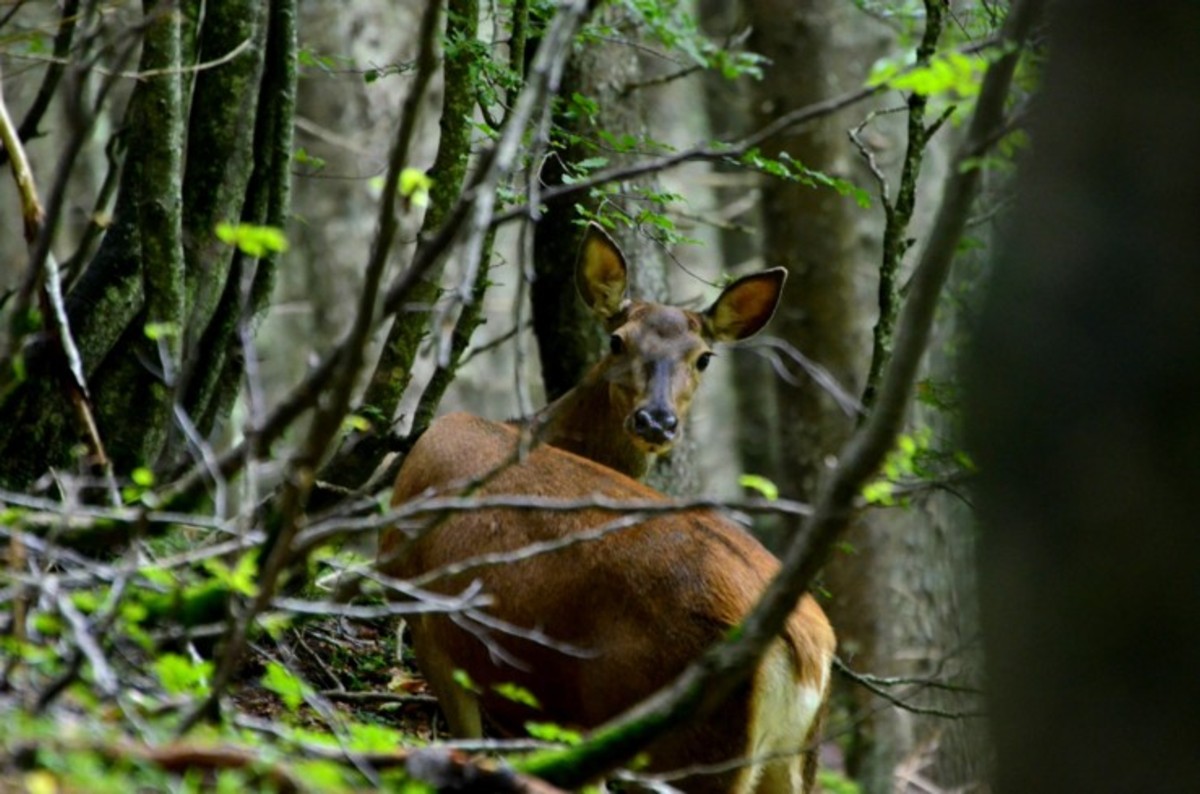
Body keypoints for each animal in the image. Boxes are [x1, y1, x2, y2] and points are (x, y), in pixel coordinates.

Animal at [379, 225, 836, 793]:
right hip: (787, 761)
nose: (656, 420)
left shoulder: (424, 616)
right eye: (618, 340)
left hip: (680, 743)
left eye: (703, 357)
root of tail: (807, 652)